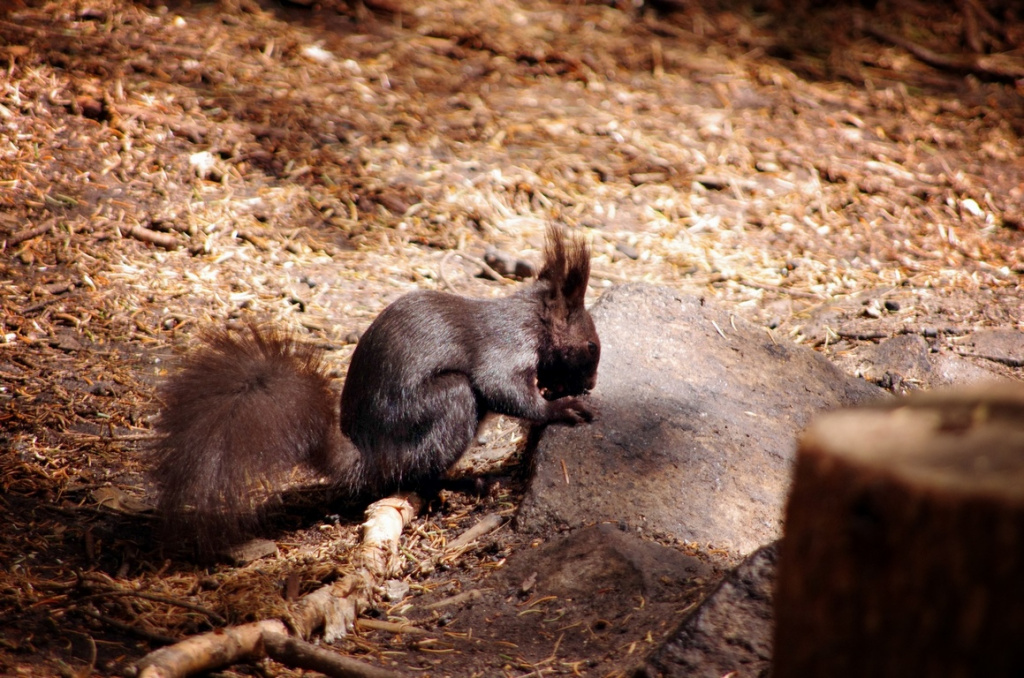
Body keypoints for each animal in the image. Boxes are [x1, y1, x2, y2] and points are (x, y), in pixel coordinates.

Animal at [150, 225, 600, 551]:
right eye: (592, 346)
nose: (593, 382)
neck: (530, 320)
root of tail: (370, 457)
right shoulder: (504, 348)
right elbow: (502, 388)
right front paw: (561, 408)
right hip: (447, 403)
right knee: (420, 473)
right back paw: (465, 485)